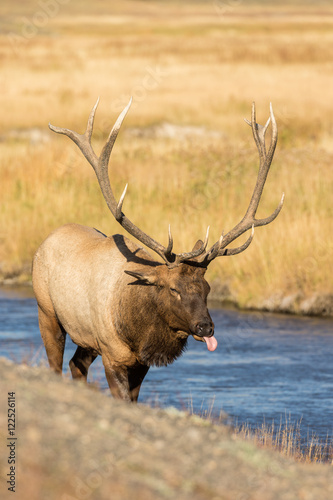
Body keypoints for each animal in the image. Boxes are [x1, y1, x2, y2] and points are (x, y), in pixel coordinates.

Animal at [31, 97, 282, 402]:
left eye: (207, 288)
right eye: (173, 289)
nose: (206, 326)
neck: (137, 334)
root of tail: (47, 239)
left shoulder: (141, 363)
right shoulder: (112, 354)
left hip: (86, 338)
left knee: (75, 364)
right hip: (47, 312)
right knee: (56, 363)